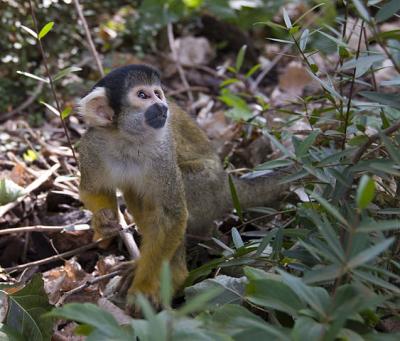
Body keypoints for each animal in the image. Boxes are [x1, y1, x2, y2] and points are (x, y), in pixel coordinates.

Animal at [78, 63, 290, 308]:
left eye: (157, 93)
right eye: (142, 95)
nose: (162, 105)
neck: (127, 140)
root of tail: (226, 182)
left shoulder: (162, 153)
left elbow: (172, 217)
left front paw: (145, 285)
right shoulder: (93, 145)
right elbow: (92, 189)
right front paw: (103, 221)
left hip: (207, 187)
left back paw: (176, 274)